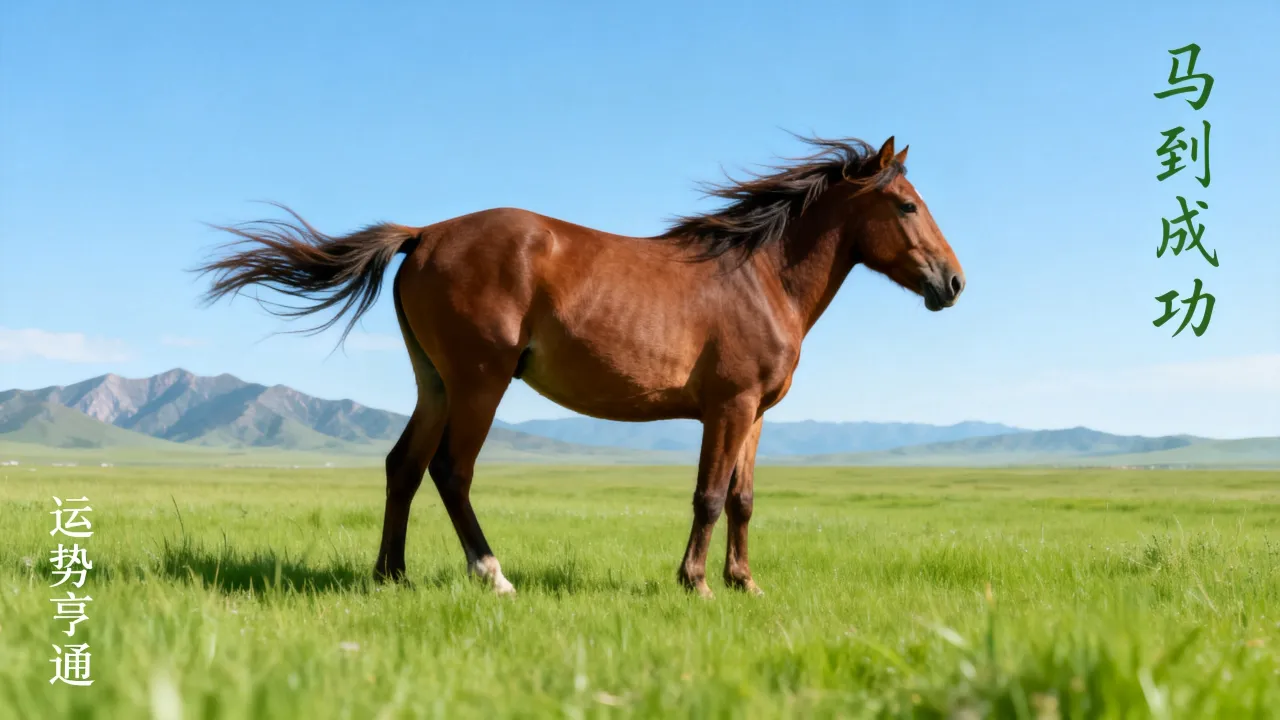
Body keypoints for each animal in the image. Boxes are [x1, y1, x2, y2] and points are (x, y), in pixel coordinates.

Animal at [196, 135, 965, 598]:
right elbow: (709, 496)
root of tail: (425, 235)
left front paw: (745, 583)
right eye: (906, 205)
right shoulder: (728, 409)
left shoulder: (755, 416)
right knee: (450, 471)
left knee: (403, 466)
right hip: (479, 383)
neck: (757, 276)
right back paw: (492, 574)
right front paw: (696, 582)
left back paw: (392, 575)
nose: (953, 283)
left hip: (436, 384)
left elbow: (744, 499)